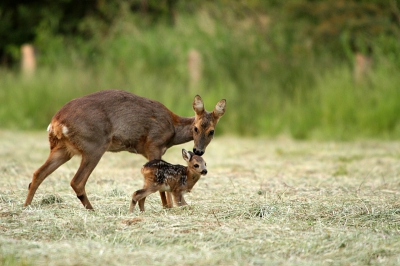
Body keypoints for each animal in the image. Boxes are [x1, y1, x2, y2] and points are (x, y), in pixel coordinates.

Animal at [23, 90, 227, 209]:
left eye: (212, 131)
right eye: (196, 128)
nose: (198, 151)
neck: (172, 129)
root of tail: (56, 122)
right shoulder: (154, 144)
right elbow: (161, 182)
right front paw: (168, 207)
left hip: (62, 148)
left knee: (38, 173)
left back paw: (26, 206)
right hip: (94, 145)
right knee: (77, 181)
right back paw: (92, 209)